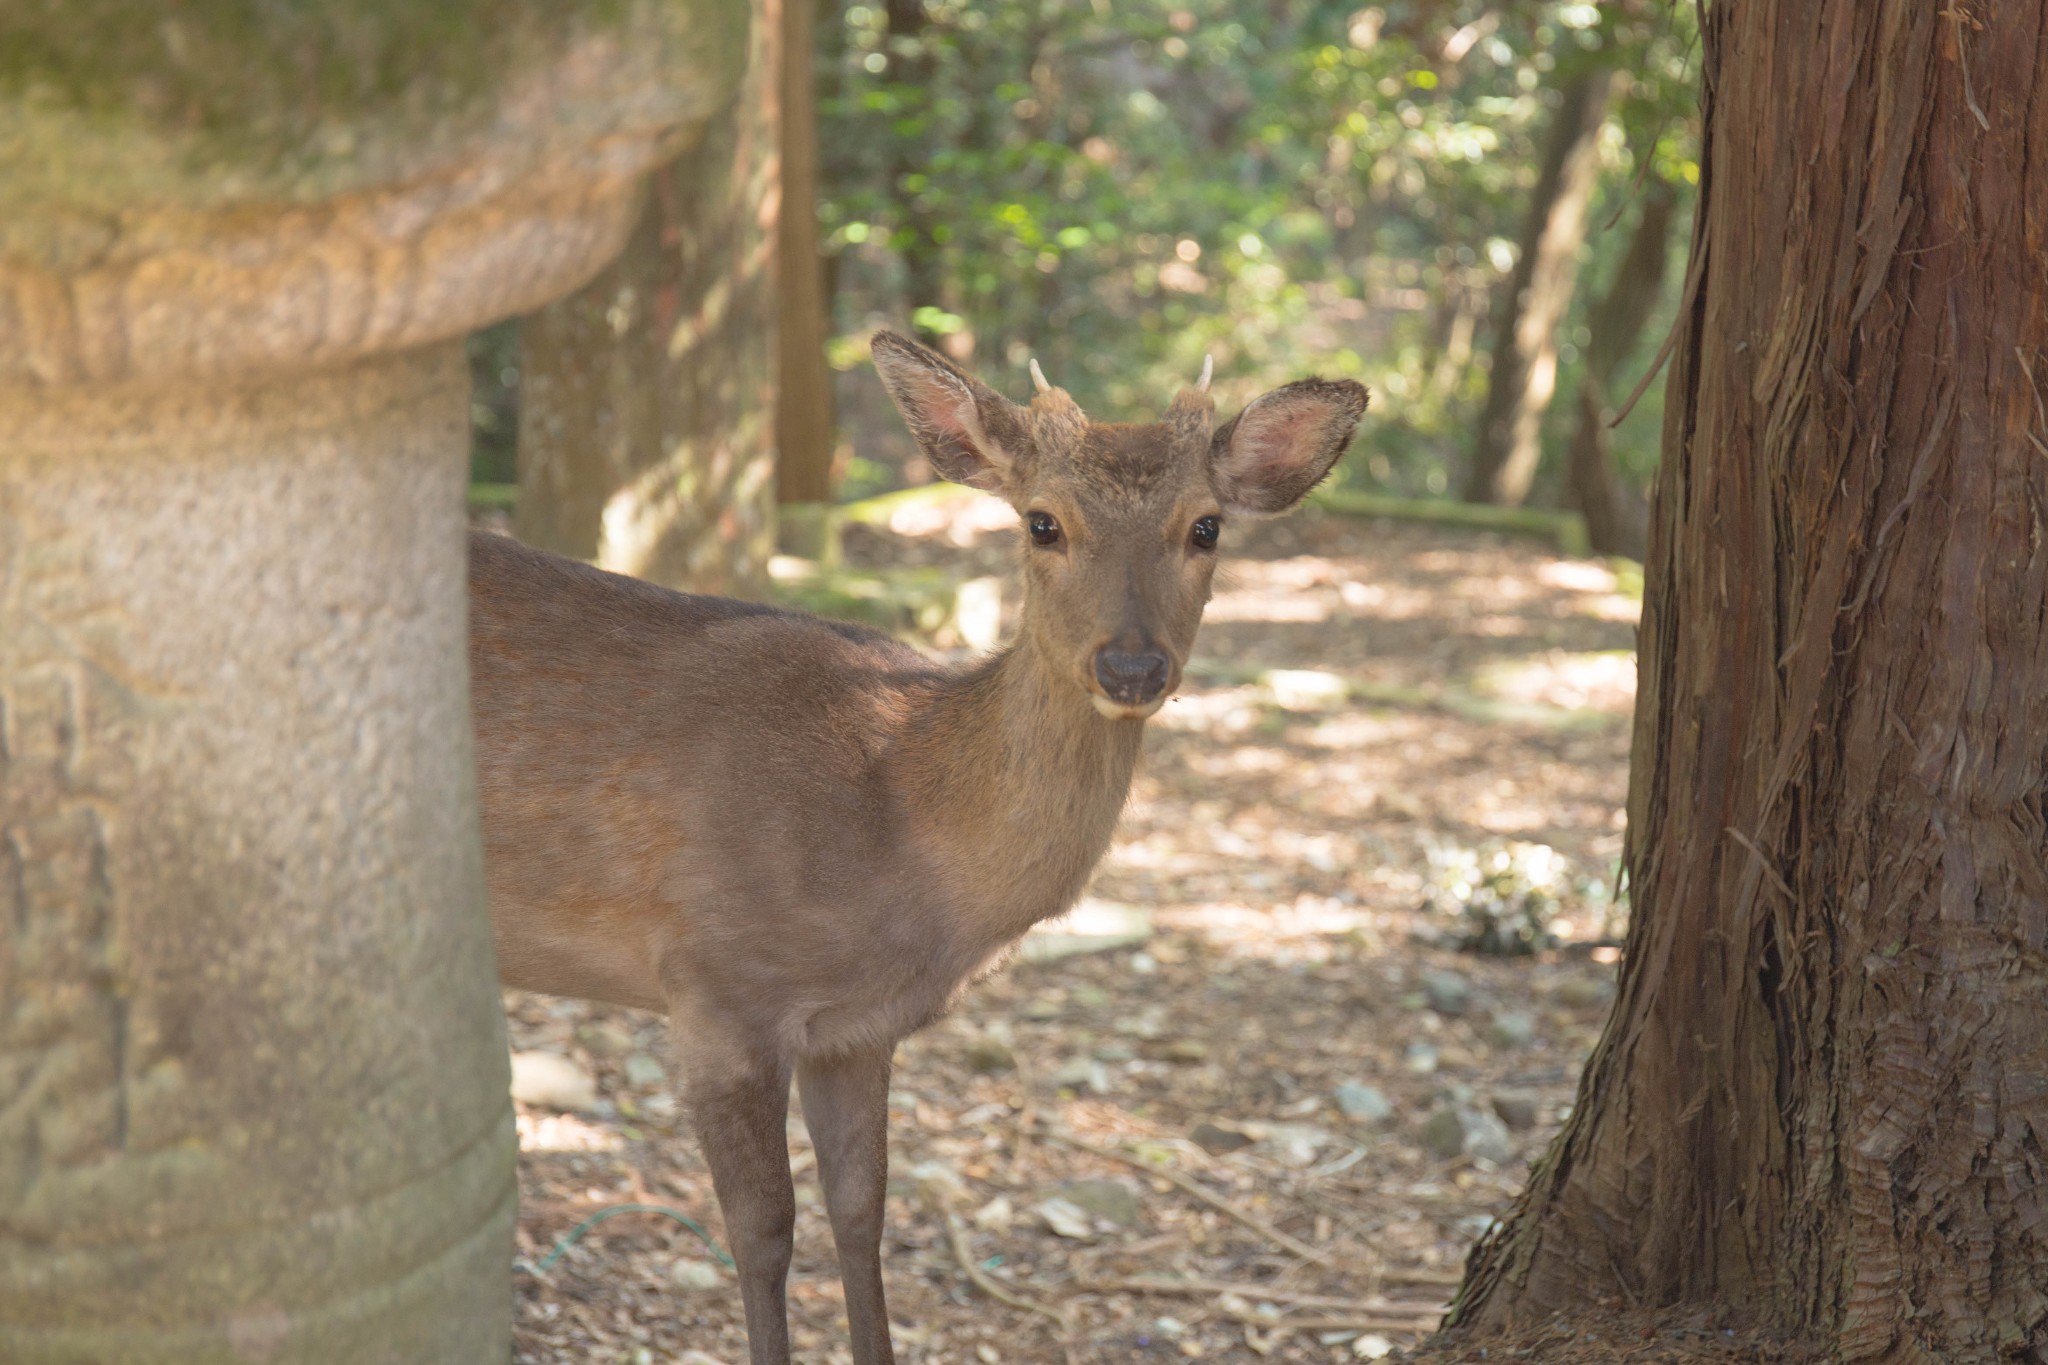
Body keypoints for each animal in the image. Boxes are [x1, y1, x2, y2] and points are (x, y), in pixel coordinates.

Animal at [471, 333, 1368, 1365]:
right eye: (1043, 522)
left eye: (1207, 527)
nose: (1133, 666)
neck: (895, 820)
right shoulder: (716, 986)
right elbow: (763, 1230)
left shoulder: (859, 1029)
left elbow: (862, 1212)